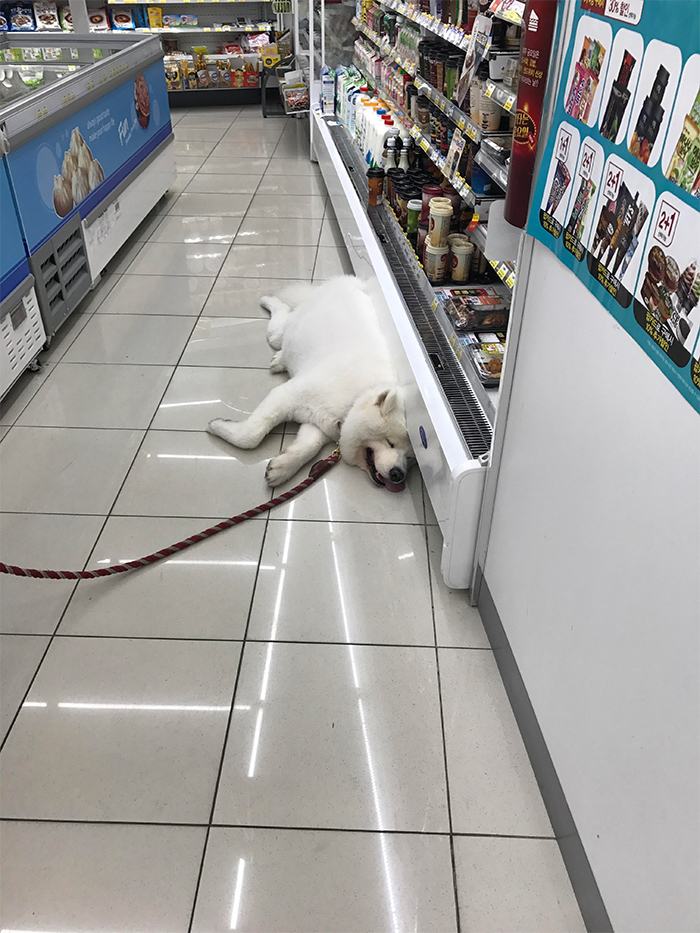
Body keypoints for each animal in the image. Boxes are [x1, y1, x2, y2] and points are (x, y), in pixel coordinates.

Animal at [205, 274, 412, 492]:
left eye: (409, 457)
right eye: (390, 443)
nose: (399, 475)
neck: (354, 399)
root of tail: (352, 283)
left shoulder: (319, 423)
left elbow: (308, 447)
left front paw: (281, 468)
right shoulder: (287, 395)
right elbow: (251, 435)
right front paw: (217, 426)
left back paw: (280, 360)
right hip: (281, 331)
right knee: (280, 316)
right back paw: (268, 300)